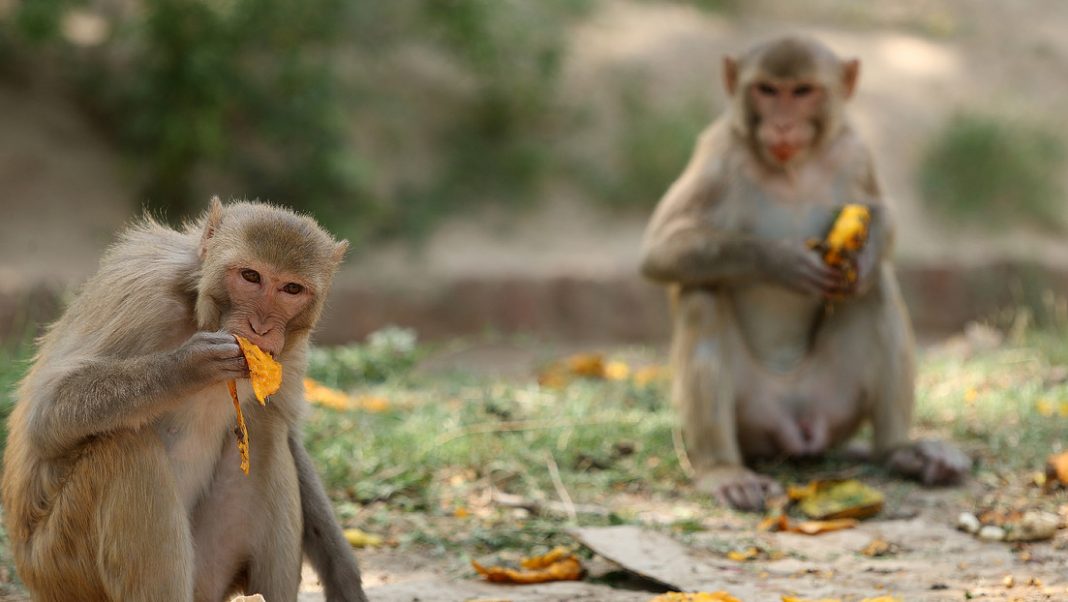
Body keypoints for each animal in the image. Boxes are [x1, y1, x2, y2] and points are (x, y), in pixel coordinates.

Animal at [2, 199, 367, 597]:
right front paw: (189, 365)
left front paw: (345, 578)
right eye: (250, 276)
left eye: (291, 288)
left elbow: (288, 433)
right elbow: (46, 414)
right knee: (126, 447)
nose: (260, 328)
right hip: (62, 564)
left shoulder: (289, 351)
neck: (199, 311)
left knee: (267, 429)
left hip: (207, 577)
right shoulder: (143, 290)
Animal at [636, 35, 974, 510]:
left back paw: (899, 451)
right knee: (701, 292)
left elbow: (881, 213)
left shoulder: (854, 148)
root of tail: (798, 427)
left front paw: (864, 256)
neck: (791, 169)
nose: (781, 124)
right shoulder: (719, 152)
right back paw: (723, 469)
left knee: (875, 289)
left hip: (836, 402)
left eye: (802, 91)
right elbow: (661, 249)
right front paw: (784, 262)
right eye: (766, 90)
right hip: (754, 414)